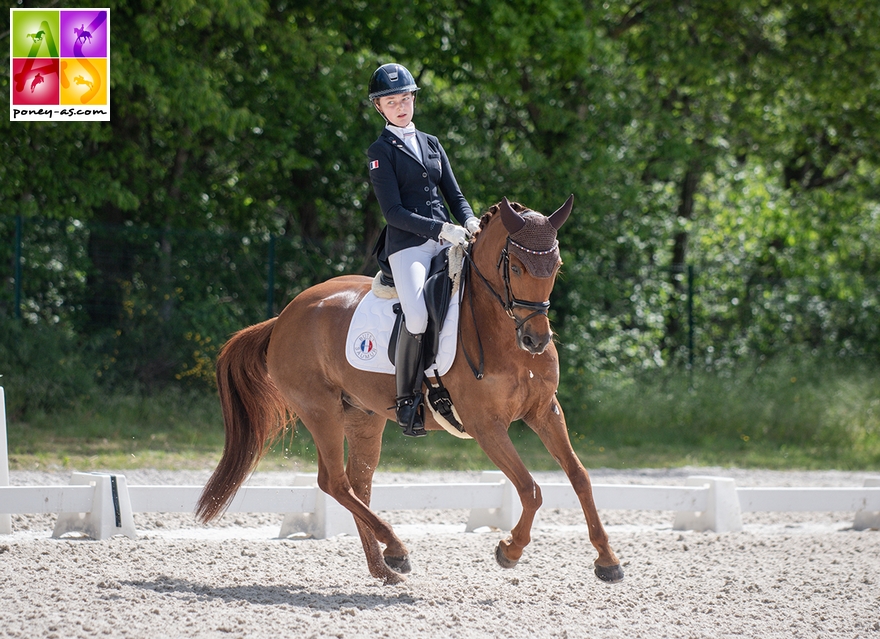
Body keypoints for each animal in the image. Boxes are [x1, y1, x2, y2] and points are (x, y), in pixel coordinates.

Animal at [198, 198, 624, 588]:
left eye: (556, 266)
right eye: (516, 267)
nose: (536, 341)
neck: (502, 334)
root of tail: (284, 316)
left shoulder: (545, 410)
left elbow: (580, 476)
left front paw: (607, 560)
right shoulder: (486, 426)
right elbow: (530, 489)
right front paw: (509, 550)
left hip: (362, 416)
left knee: (359, 484)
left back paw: (384, 568)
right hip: (320, 410)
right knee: (334, 482)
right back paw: (396, 549)